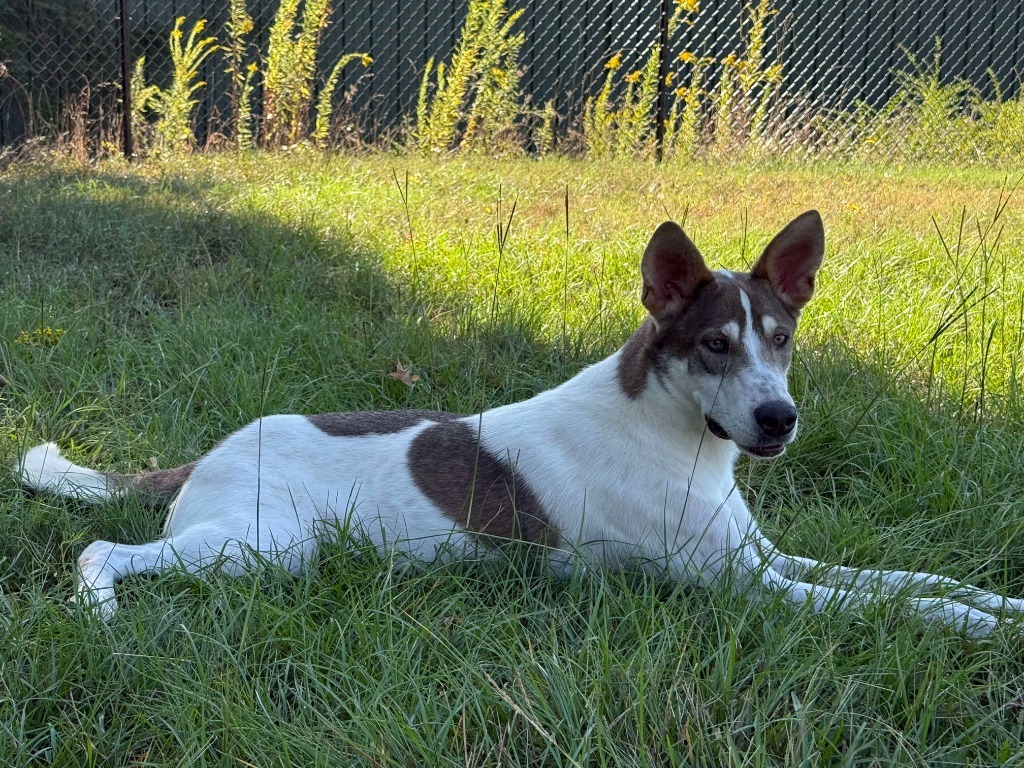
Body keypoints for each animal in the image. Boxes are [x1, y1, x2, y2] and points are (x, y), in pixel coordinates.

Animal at [16, 211, 1024, 638]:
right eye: (712, 346)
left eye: (781, 339)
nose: (778, 420)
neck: (672, 436)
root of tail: (200, 459)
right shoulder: (747, 587)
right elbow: (901, 603)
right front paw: (981, 629)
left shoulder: (764, 558)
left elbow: (909, 577)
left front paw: (999, 603)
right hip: (266, 547)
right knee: (101, 550)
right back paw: (100, 611)